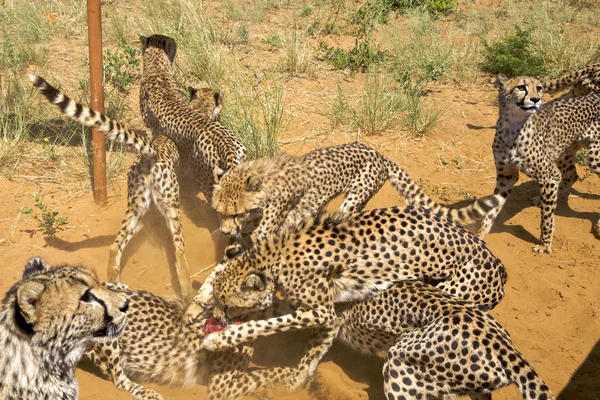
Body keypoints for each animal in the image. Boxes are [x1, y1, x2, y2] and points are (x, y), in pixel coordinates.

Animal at [197, 206, 506, 362]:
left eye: (228, 304)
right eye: (219, 301)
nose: (216, 318)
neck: (277, 255)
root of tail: (499, 266)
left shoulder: (322, 311)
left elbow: (267, 324)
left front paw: (219, 339)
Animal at [213, 142, 500, 256]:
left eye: (236, 212)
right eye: (220, 212)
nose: (224, 231)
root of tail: (379, 154)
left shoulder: (267, 224)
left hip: (354, 198)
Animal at [478, 74, 600, 253]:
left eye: (539, 88)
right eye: (521, 87)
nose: (536, 99)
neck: (512, 126)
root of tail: (595, 95)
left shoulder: (548, 176)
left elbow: (546, 217)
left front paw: (545, 244)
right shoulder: (506, 176)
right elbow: (492, 209)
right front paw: (479, 236)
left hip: (595, 158)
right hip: (564, 151)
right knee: (571, 175)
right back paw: (544, 198)